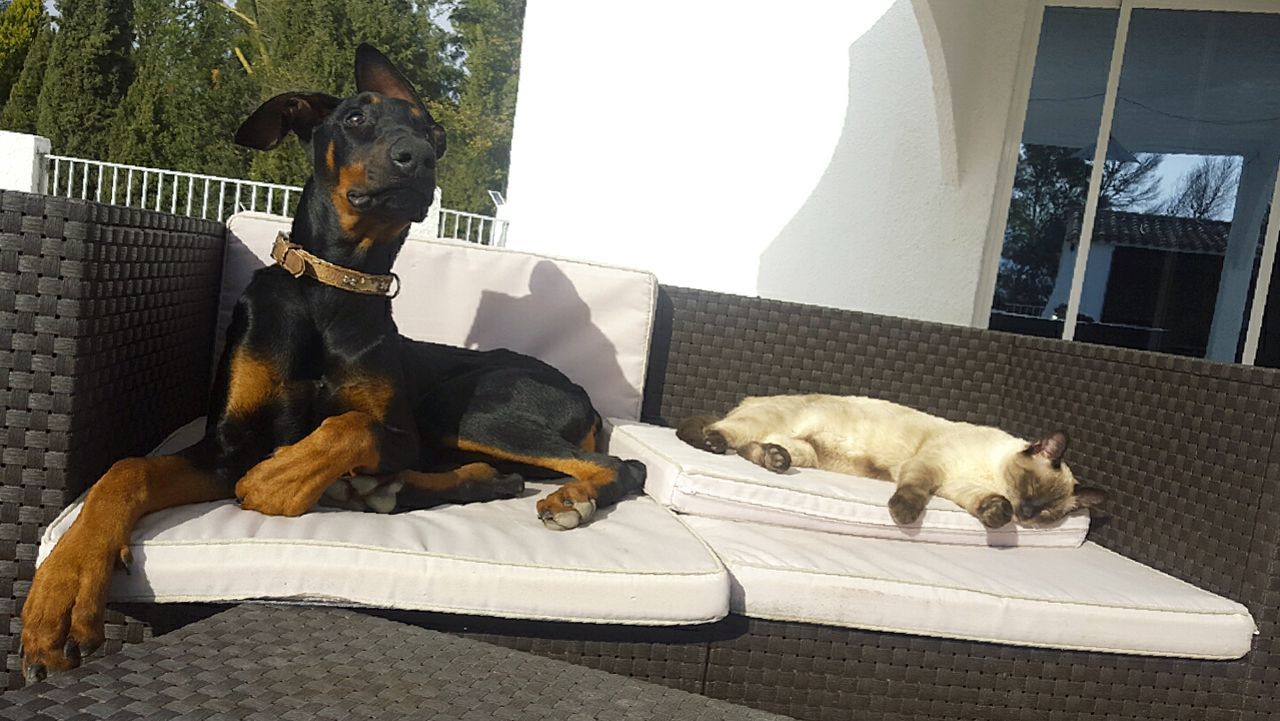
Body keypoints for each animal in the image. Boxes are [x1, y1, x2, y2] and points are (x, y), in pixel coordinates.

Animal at [27, 45, 650, 681]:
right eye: (355, 118)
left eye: (435, 134)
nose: (417, 159)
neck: (332, 287)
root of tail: (586, 398)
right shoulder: (226, 445)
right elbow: (127, 470)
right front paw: (62, 593)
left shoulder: (397, 431)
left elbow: (351, 425)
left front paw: (278, 478)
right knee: (509, 474)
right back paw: (401, 489)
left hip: (459, 408)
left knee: (621, 466)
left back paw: (564, 499)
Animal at [675, 396, 1105, 527]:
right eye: (1030, 487)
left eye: (1049, 512)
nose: (1027, 514)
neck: (992, 474)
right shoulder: (929, 467)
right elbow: (913, 491)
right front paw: (903, 516)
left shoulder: (959, 488)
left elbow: (986, 505)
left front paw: (997, 516)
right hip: (760, 424)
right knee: (711, 430)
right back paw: (710, 442)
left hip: (803, 452)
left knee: (756, 450)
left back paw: (774, 459)